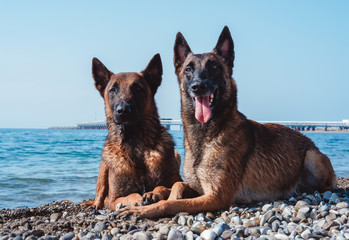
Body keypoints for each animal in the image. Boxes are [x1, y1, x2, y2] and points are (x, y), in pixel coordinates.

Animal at [87, 53, 181, 210]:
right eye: (113, 90)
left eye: (137, 88)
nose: (123, 110)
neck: (135, 143)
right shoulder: (115, 199)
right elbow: (130, 195)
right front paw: (138, 198)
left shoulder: (178, 181)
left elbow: (164, 186)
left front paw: (153, 193)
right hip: (104, 167)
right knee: (99, 195)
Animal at [118, 26, 336, 218]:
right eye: (188, 69)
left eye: (214, 67)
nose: (198, 86)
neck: (205, 136)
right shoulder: (198, 187)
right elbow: (178, 185)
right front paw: (159, 194)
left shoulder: (216, 196)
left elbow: (172, 204)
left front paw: (146, 208)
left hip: (312, 158)